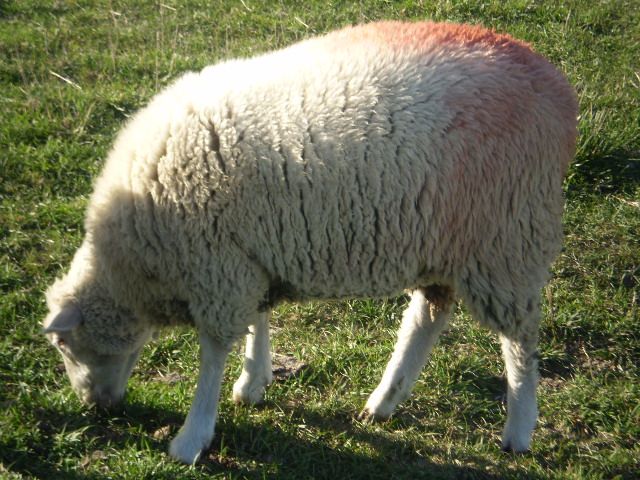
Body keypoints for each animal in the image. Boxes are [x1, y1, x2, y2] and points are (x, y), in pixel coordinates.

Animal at [42, 20, 578, 465]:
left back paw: (518, 429)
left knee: (520, 342)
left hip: (507, 240)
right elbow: (258, 318)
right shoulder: (248, 257)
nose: (95, 408)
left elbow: (212, 356)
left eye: (64, 343)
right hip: (447, 240)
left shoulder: (217, 268)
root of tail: (556, 88)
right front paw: (253, 381)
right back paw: (384, 401)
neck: (134, 268)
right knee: (427, 317)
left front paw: (192, 437)